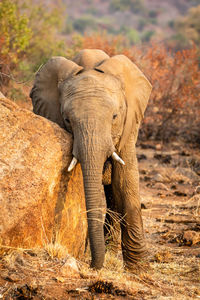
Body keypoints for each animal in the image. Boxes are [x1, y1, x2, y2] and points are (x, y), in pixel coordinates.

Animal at [29, 48, 152, 270]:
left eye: (114, 117)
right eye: (67, 120)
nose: (93, 265)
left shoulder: (128, 128)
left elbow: (125, 183)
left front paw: (138, 270)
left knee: (114, 193)